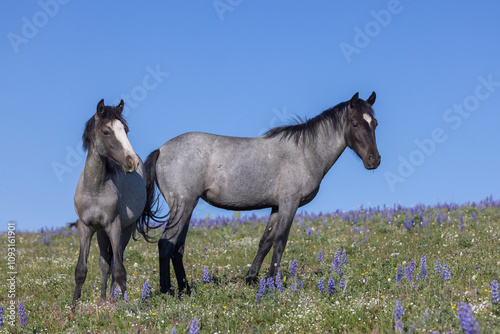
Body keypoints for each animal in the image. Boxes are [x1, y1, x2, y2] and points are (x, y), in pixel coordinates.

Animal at [72, 100, 146, 310]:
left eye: (126, 130)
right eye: (106, 131)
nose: (132, 161)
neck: (95, 188)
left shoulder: (114, 226)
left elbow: (120, 271)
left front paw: (127, 307)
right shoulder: (86, 228)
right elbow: (81, 270)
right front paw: (72, 309)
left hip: (124, 231)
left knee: (114, 263)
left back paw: (113, 299)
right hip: (101, 233)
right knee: (105, 264)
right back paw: (104, 299)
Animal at [137, 91, 378, 292]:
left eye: (374, 123)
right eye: (355, 123)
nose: (374, 160)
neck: (306, 152)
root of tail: (161, 150)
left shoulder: (277, 206)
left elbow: (265, 241)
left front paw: (254, 278)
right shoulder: (290, 202)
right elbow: (280, 241)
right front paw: (273, 283)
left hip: (187, 207)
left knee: (178, 247)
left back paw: (185, 289)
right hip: (183, 204)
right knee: (166, 244)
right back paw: (167, 291)